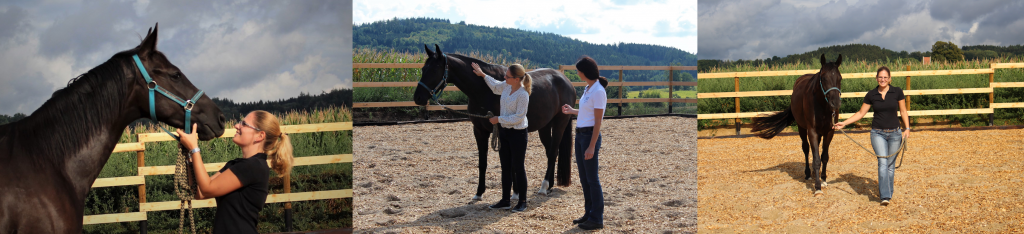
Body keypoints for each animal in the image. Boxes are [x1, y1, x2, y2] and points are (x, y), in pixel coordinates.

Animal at [413, 44, 577, 200]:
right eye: (423, 69)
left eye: (435, 70)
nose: (418, 97)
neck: (483, 91)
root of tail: (566, 81)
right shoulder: (479, 131)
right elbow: (482, 163)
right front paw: (479, 193)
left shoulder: (503, 130)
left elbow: (510, 163)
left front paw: (515, 193)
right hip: (544, 127)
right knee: (550, 152)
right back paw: (549, 185)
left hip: (559, 124)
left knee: (553, 152)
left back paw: (543, 187)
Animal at [753, 53, 839, 196]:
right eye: (824, 78)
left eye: (839, 77)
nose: (835, 103)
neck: (822, 106)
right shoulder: (812, 131)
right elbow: (816, 160)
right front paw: (817, 187)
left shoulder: (830, 131)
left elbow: (824, 157)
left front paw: (824, 180)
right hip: (802, 128)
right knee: (806, 149)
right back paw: (808, 174)